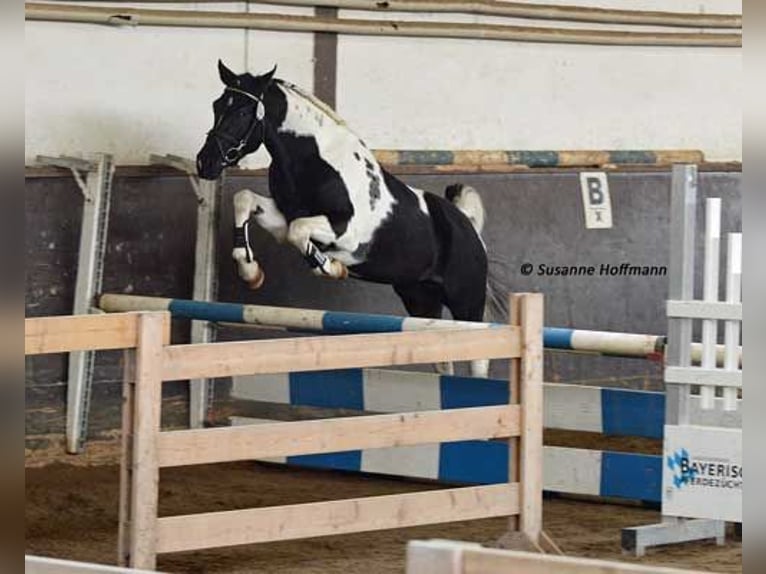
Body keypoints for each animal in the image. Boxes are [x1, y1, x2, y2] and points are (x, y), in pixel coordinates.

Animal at [196, 61, 495, 376]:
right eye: (217, 105)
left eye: (242, 112)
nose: (205, 163)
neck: (313, 160)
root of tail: (469, 227)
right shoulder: (282, 215)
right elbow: (245, 200)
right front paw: (251, 271)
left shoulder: (346, 233)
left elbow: (298, 231)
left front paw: (331, 267)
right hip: (420, 298)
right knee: (443, 355)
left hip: (466, 302)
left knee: (479, 355)